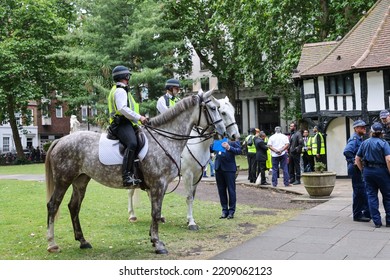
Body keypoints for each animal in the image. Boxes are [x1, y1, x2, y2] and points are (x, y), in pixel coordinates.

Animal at [45, 89, 225, 254]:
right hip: (63, 180)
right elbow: (156, 212)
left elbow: (156, 211)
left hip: (80, 180)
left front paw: (154, 239)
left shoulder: (163, 185)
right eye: (213, 108)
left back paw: (82, 241)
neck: (165, 140)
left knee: (74, 206)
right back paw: (52, 243)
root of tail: (60, 140)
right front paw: (158, 244)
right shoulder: (159, 184)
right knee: (53, 205)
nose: (223, 131)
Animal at [128, 95, 239, 230]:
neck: (198, 144)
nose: (235, 135)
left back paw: (159, 216)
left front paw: (190, 219)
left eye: (233, 111)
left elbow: (192, 197)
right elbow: (189, 197)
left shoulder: (198, 175)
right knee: (131, 191)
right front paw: (191, 222)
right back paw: (132, 215)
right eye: (222, 112)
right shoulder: (188, 174)